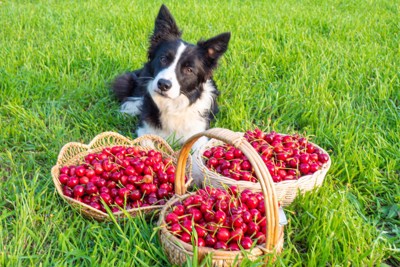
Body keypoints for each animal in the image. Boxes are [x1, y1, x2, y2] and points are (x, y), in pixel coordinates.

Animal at [112, 4, 231, 148]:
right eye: (163, 59)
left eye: (189, 70)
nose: (163, 84)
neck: (172, 104)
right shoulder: (144, 129)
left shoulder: (199, 133)